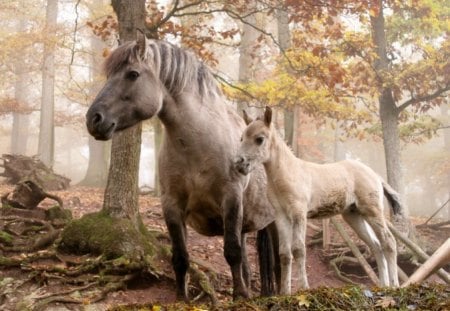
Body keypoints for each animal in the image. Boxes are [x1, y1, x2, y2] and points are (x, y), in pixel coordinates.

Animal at [236, 107, 400, 294]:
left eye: (259, 139)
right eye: (242, 138)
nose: (239, 163)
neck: (288, 173)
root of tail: (376, 175)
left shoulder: (299, 213)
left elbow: (299, 249)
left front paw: (304, 288)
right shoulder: (281, 216)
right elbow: (284, 253)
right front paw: (285, 293)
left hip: (372, 211)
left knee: (389, 242)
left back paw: (394, 285)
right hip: (354, 215)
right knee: (376, 246)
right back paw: (383, 286)